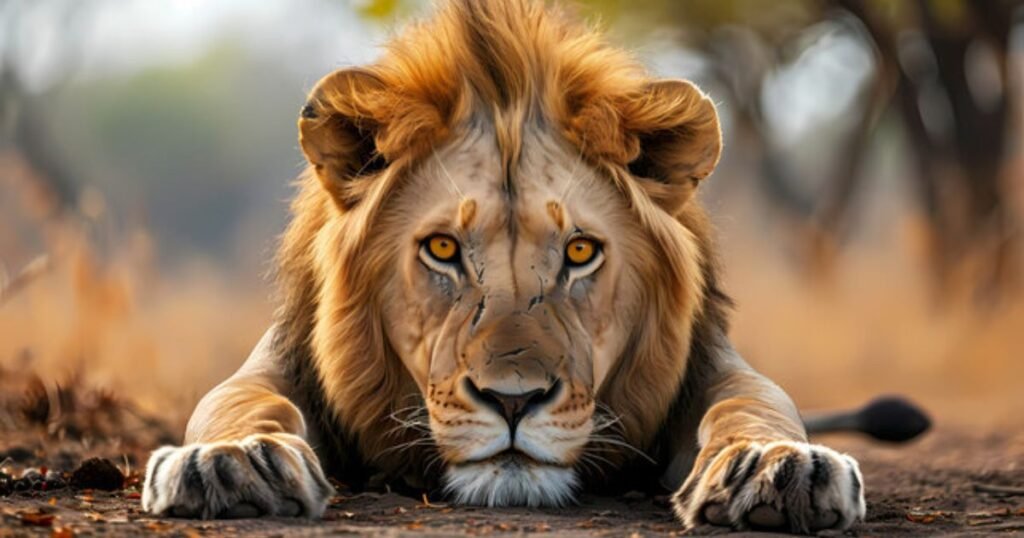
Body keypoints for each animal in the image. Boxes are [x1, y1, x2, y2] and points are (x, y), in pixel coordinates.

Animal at [142, 0, 868, 532]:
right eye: (442, 250)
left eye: (580, 251)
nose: (513, 401)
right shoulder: (274, 365)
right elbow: (243, 402)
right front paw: (230, 462)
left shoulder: (714, 366)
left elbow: (753, 404)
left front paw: (777, 466)